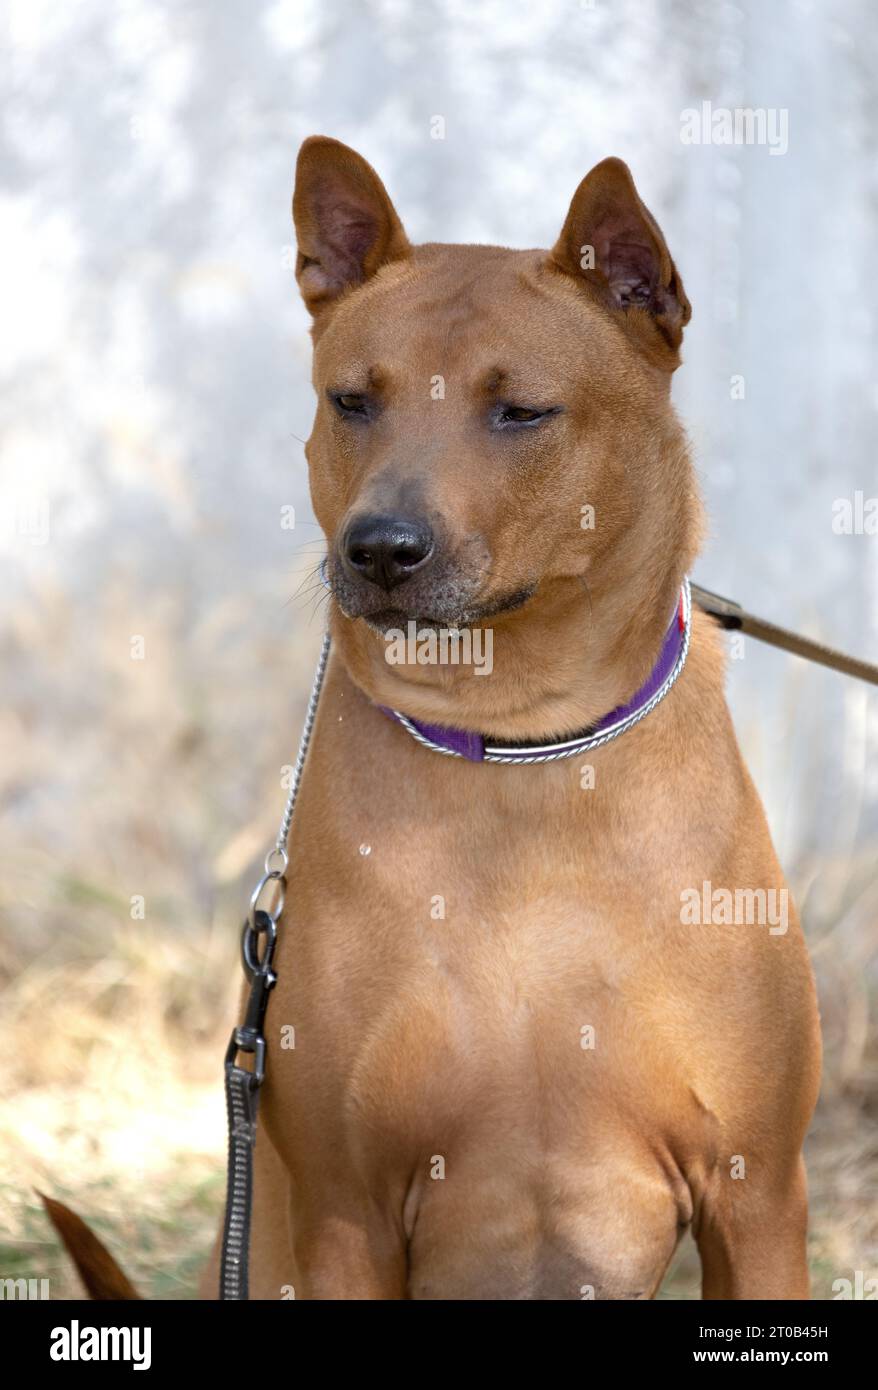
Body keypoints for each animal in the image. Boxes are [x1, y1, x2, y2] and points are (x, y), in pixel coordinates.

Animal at [200, 135, 822, 1295]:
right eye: (351, 401)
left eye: (520, 411)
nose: (380, 549)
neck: (523, 743)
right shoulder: (345, 1212)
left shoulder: (756, 1194)